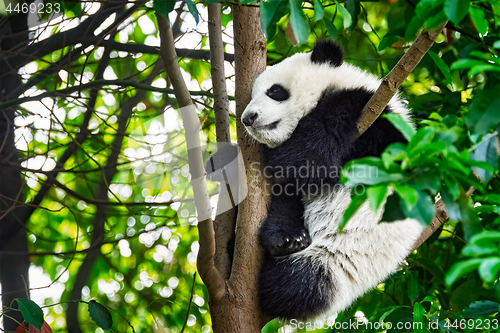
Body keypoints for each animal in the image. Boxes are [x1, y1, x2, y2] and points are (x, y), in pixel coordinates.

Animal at [242, 40, 426, 320]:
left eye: (275, 92)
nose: (248, 118)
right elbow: (290, 183)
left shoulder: (379, 121)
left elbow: (313, 155)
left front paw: (294, 154)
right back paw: (287, 239)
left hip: (341, 261)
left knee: (297, 285)